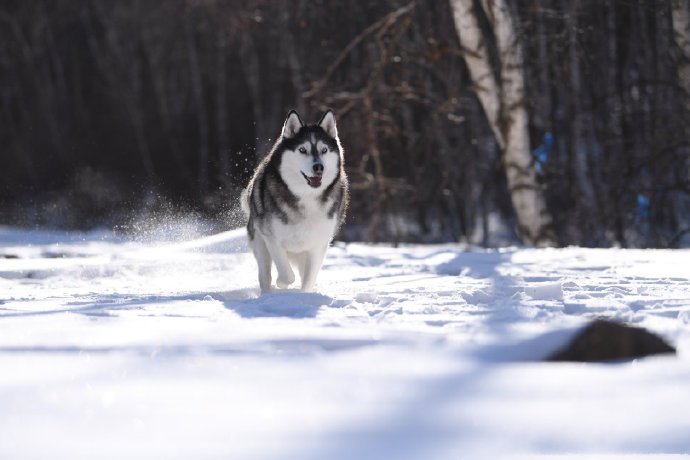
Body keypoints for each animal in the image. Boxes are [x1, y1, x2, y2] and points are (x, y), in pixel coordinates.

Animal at [243, 109, 350, 292]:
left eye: (324, 150)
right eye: (302, 150)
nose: (318, 167)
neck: (306, 196)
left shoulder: (318, 245)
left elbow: (308, 280)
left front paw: (303, 294)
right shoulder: (272, 238)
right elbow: (287, 275)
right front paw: (281, 283)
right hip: (260, 242)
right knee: (265, 275)